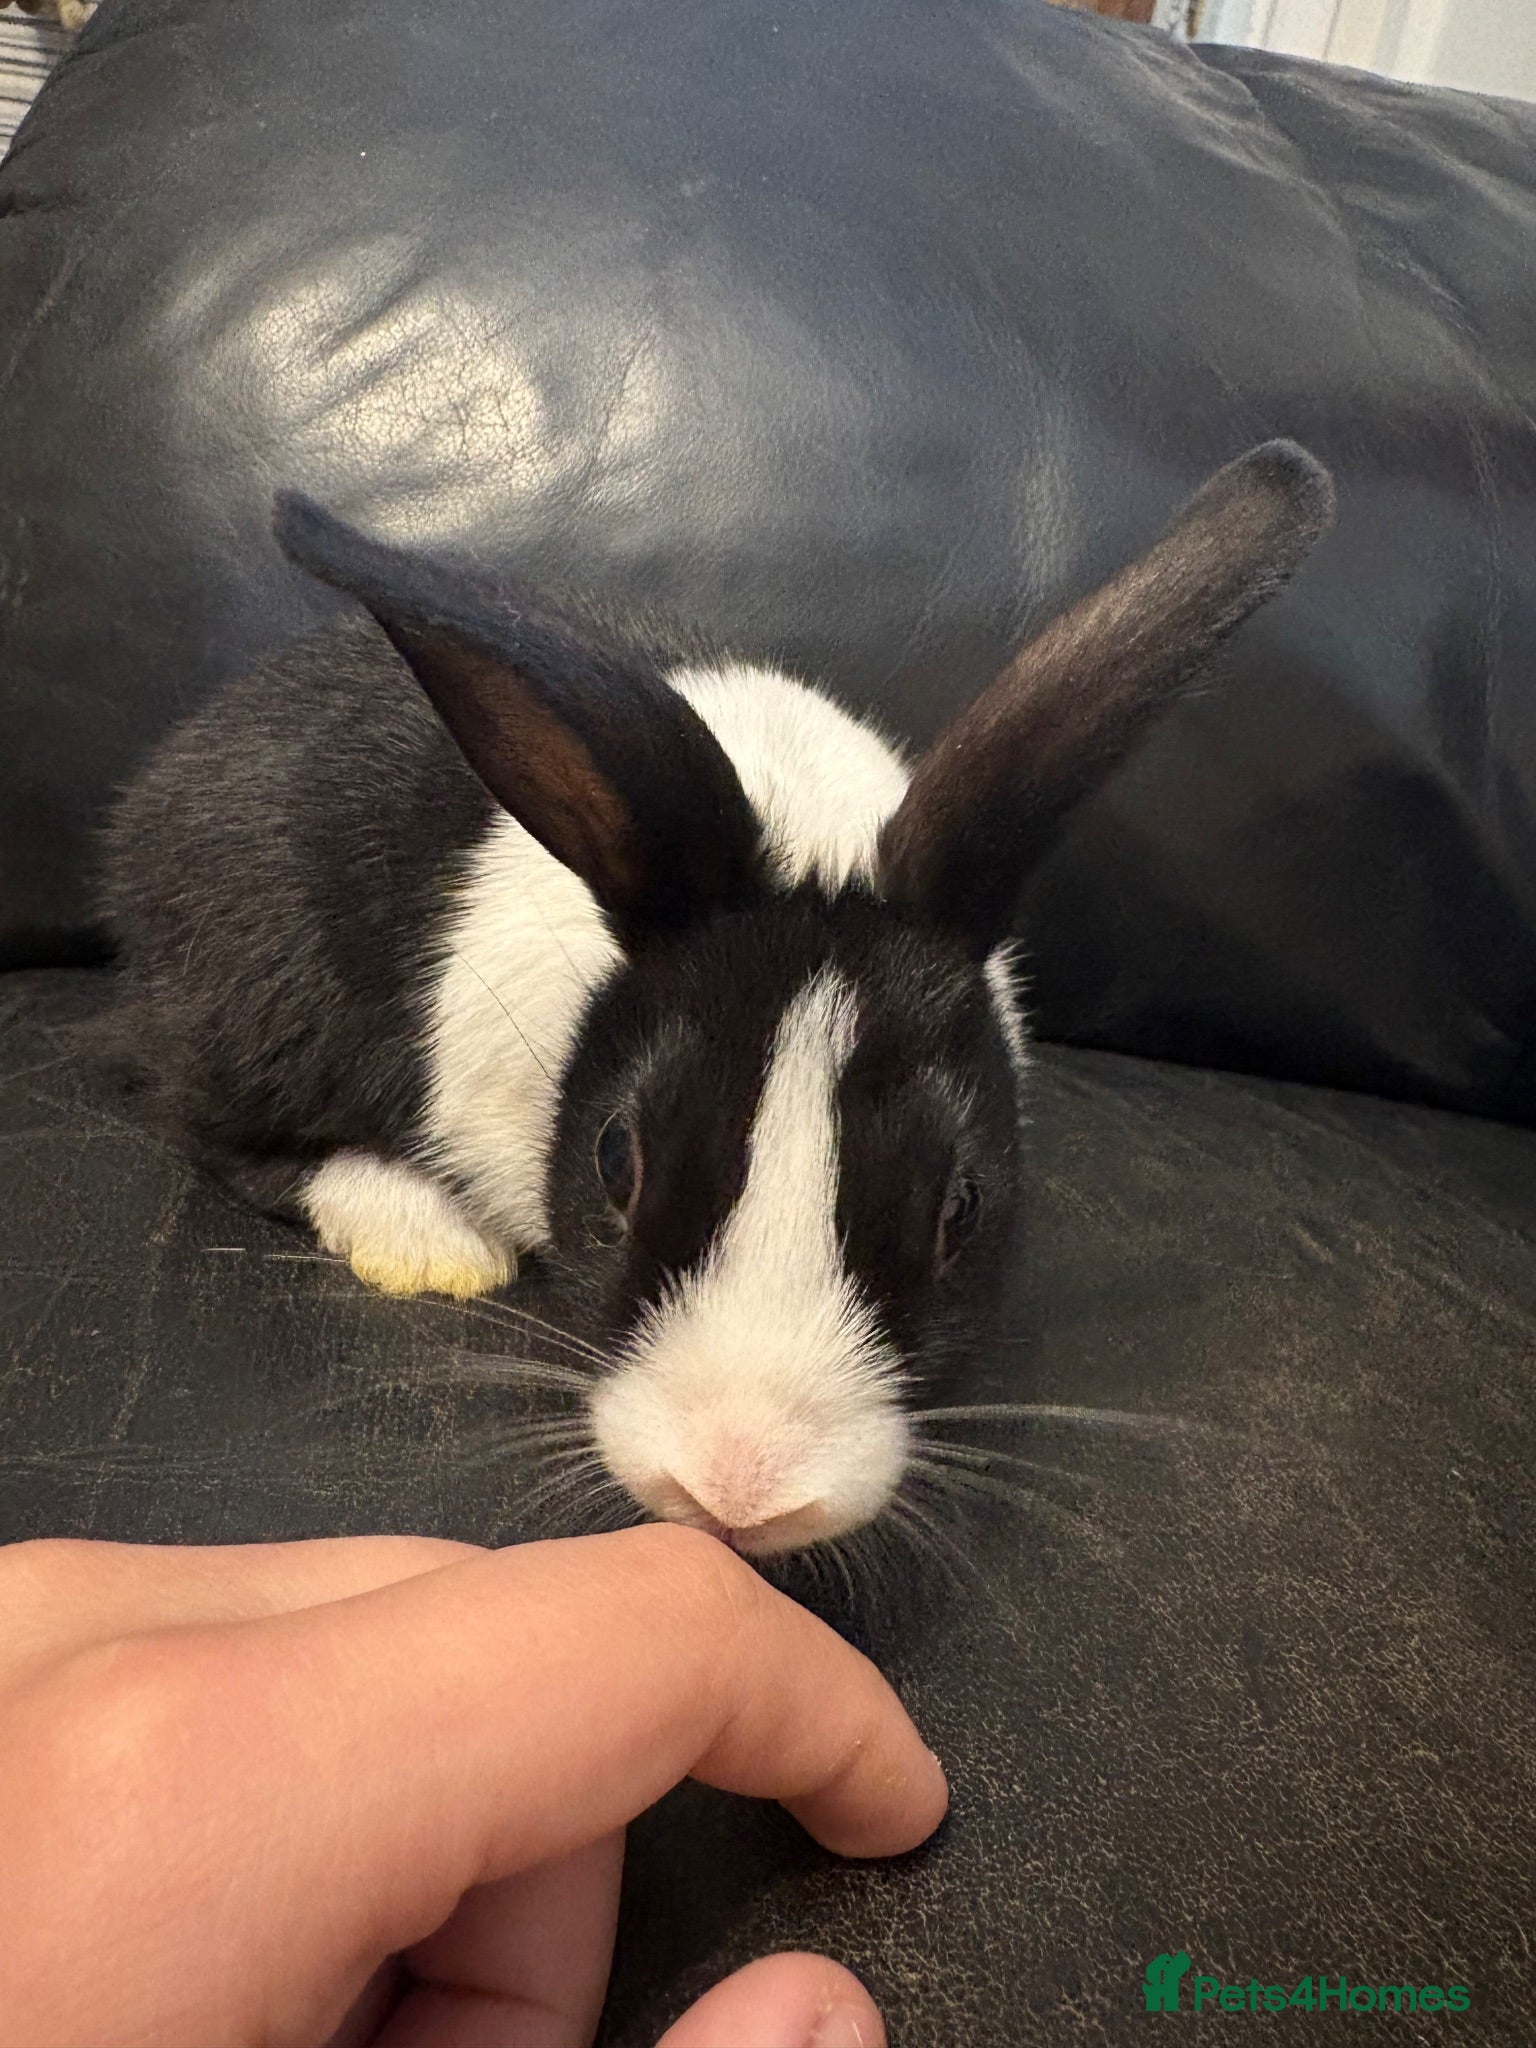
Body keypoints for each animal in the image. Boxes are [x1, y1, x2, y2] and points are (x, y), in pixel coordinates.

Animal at [104, 441, 1334, 1555]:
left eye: (964, 1205)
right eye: (616, 1157)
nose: (741, 1487)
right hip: (268, 994)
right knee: (209, 1117)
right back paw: (430, 1238)